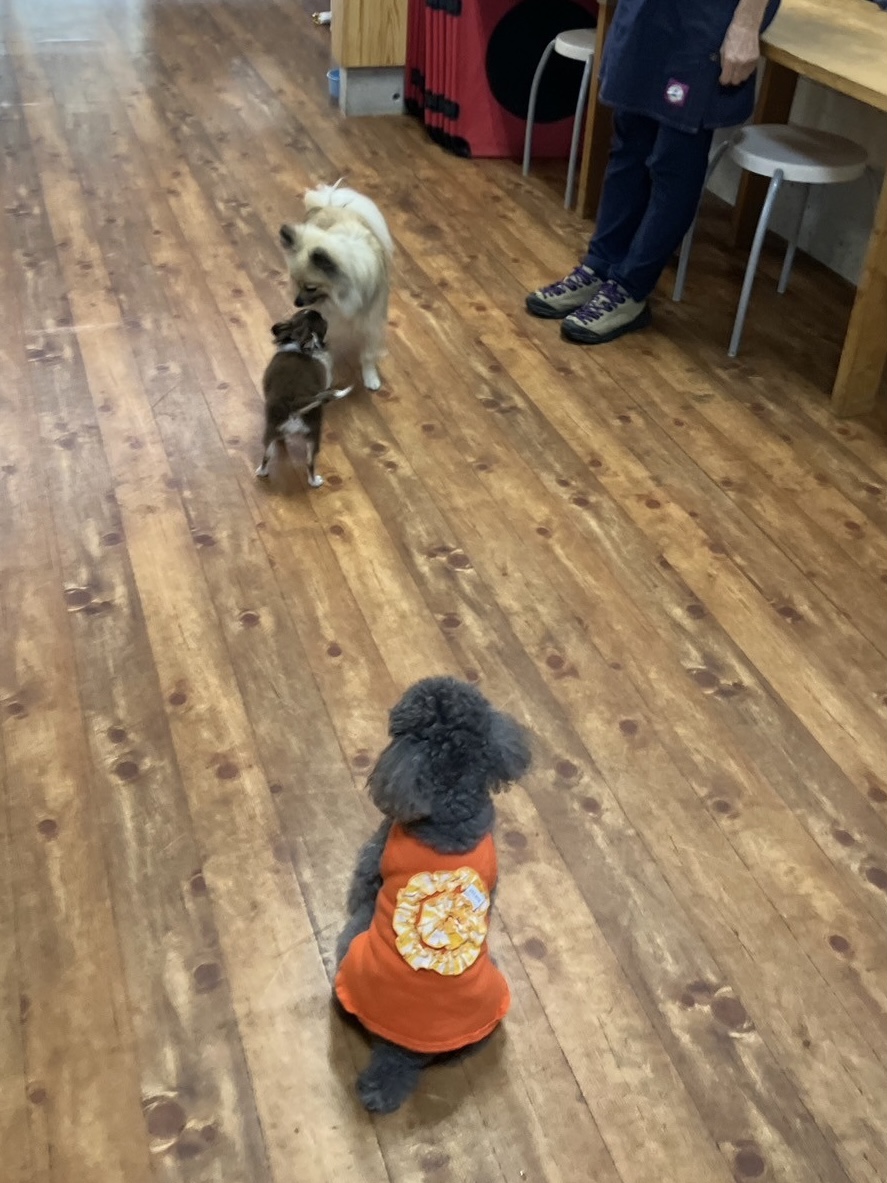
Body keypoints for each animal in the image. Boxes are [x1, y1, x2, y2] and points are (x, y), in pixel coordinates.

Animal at [256, 308, 352, 487]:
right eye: (323, 322)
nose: (320, 311)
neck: (299, 345)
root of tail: (294, 404)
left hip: (271, 430)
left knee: (267, 455)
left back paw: (262, 471)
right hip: (314, 433)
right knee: (310, 462)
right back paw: (315, 482)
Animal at [279, 182, 393, 392]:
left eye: (311, 287)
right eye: (295, 282)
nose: (297, 302)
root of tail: (331, 205)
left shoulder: (371, 323)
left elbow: (368, 355)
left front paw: (370, 377)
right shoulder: (329, 323)